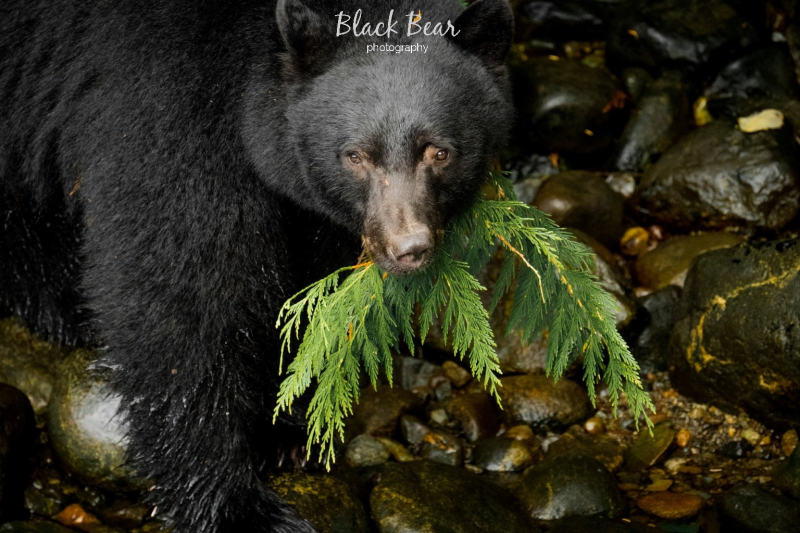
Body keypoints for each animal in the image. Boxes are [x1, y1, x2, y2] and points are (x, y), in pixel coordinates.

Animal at [0, 0, 514, 531]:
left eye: (440, 151)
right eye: (355, 155)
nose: (408, 247)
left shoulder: (317, 215)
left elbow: (305, 291)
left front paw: (284, 425)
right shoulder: (166, 111)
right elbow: (180, 298)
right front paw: (237, 504)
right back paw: (57, 303)